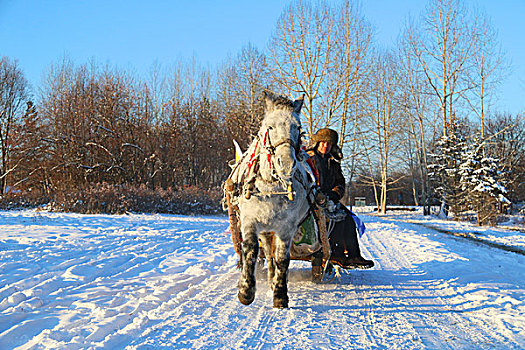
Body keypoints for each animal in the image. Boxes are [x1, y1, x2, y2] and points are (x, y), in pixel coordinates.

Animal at [232, 91, 314, 308]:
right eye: (270, 127)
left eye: (298, 128)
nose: (286, 163)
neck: (270, 186)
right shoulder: (250, 221)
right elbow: (251, 251)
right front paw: (246, 291)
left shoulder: (287, 227)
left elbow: (282, 259)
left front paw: (280, 294)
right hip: (265, 229)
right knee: (267, 252)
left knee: (273, 254)